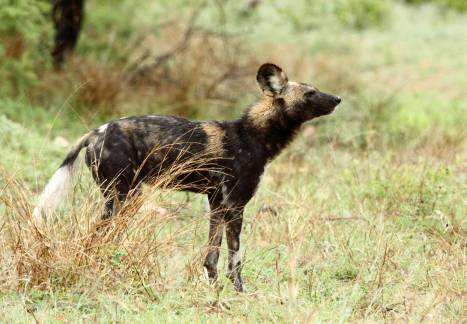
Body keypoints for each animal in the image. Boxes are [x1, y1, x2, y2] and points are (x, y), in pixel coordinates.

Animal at [32, 63, 340, 292]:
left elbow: (211, 257)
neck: (253, 135)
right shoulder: (235, 206)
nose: (338, 98)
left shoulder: (218, 204)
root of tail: (97, 131)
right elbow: (235, 259)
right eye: (310, 93)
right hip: (124, 198)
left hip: (124, 199)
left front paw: (215, 291)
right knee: (97, 236)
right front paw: (240, 292)